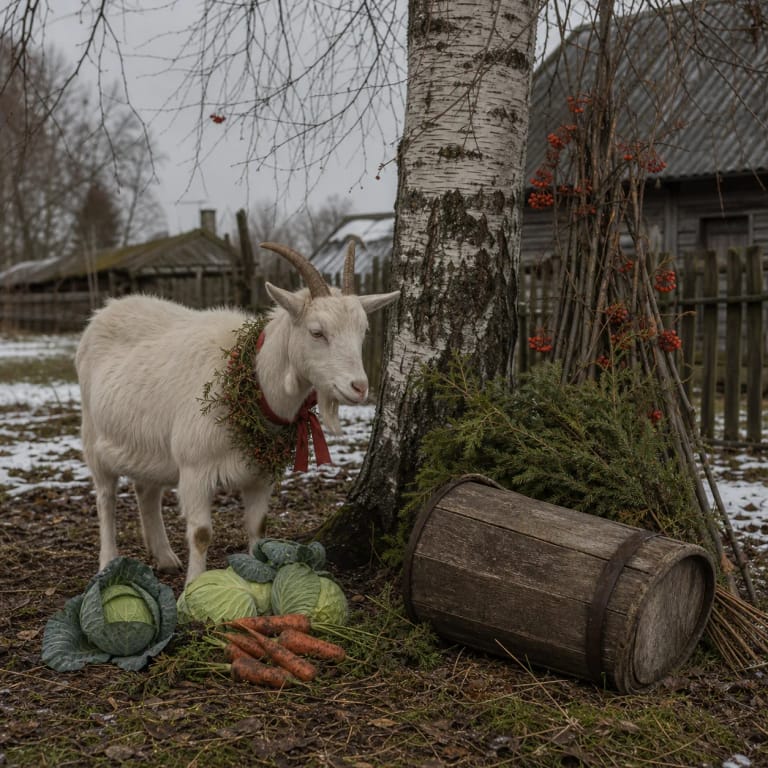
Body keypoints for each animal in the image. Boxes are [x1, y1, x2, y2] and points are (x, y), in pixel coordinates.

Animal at [75, 241, 399, 583]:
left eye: (363, 332)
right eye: (316, 332)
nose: (359, 387)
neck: (249, 379)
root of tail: (105, 311)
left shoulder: (260, 475)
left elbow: (258, 526)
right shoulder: (195, 469)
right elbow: (201, 534)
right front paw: (194, 586)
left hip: (149, 446)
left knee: (145, 490)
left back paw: (165, 557)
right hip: (93, 437)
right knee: (105, 498)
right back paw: (108, 561)